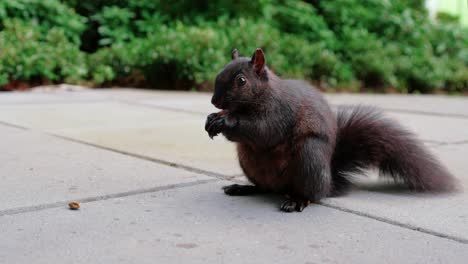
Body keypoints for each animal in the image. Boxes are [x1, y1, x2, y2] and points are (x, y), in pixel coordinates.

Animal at [204, 48, 454, 212]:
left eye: (241, 80)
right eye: (219, 72)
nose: (215, 101)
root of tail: (328, 183)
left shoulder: (280, 112)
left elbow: (263, 130)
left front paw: (226, 122)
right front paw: (212, 119)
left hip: (309, 156)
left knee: (311, 195)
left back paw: (298, 200)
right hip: (248, 161)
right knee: (265, 188)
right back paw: (243, 188)